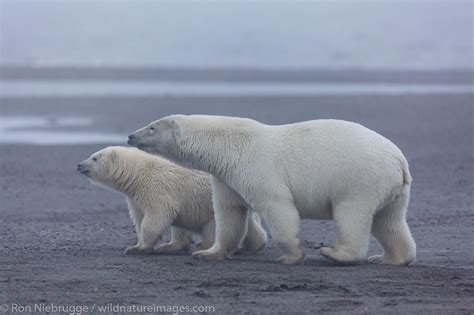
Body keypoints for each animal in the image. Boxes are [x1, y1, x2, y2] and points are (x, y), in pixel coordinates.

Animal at [76, 147, 264, 256]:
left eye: (94, 158)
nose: (79, 165)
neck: (139, 175)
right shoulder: (135, 197)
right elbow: (141, 218)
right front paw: (158, 245)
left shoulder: (156, 189)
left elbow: (156, 216)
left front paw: (138, 248)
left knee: (214, 224)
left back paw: (203, 246)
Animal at [128, 115, 416, 266]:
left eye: (152, 127)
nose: (131, 136)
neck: (228, 143)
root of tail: (399, 161)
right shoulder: (226, 176)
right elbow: (229, 212)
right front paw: (207, 252)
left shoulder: (257, 166)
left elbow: (277, 207)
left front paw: (291, 256)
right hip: (392, 189)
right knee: (389, 220)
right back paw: (390, 258)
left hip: (358, 179)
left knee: (352, 214)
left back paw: (335, 253)